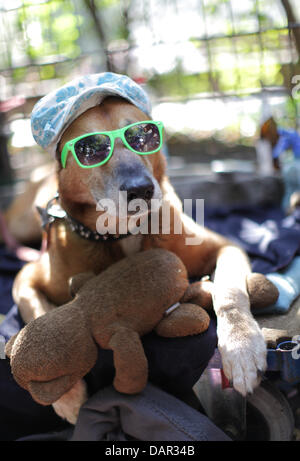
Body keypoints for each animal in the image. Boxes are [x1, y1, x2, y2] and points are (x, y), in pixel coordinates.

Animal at [11, 96, 266, 424]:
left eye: (144, 136)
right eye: (89, 149)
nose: (140, 190)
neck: (124, 231)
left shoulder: (225, 247)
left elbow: (230, 292)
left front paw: (242, 346)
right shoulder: (27, 276)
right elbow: (35, 312)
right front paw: (66, 395)